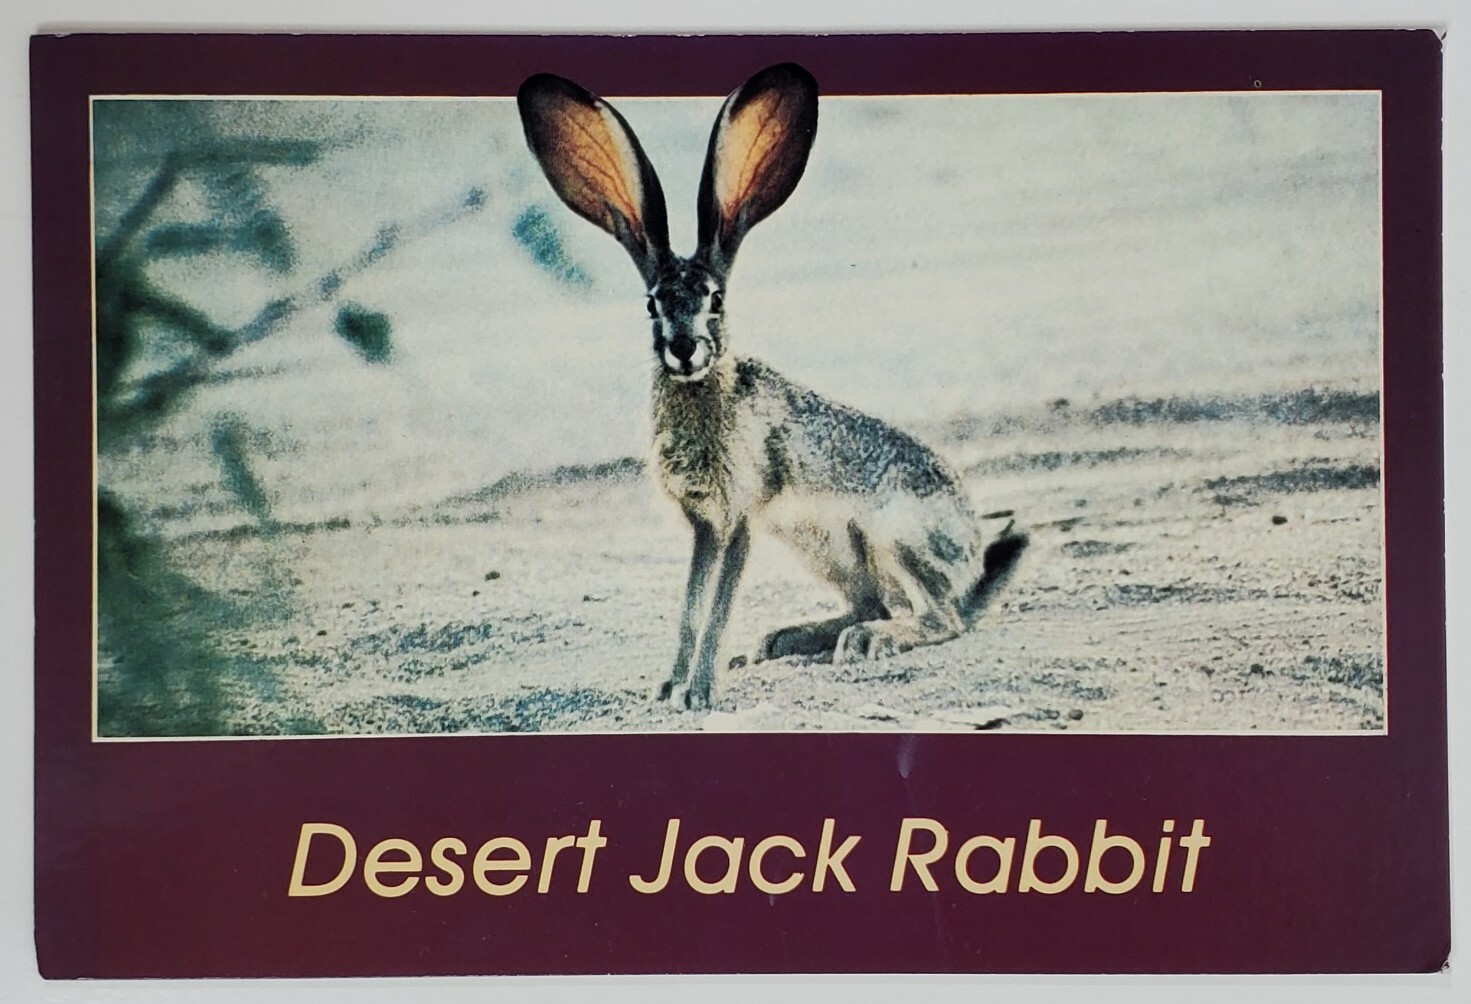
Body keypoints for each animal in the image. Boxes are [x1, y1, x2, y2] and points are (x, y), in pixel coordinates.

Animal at [517, 63, 1026, 710]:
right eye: (652, 304)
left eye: (715, 300)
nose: (684, 348)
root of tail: (971, 560)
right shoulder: (704, 524)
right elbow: (690, 607)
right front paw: (670, 686)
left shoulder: (738, 517)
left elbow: (717, 605)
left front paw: (700, 693)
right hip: (827, 547)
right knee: (875, 602)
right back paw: (785, 640)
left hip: (894, 537)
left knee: (940, 618)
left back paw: (868, 642)